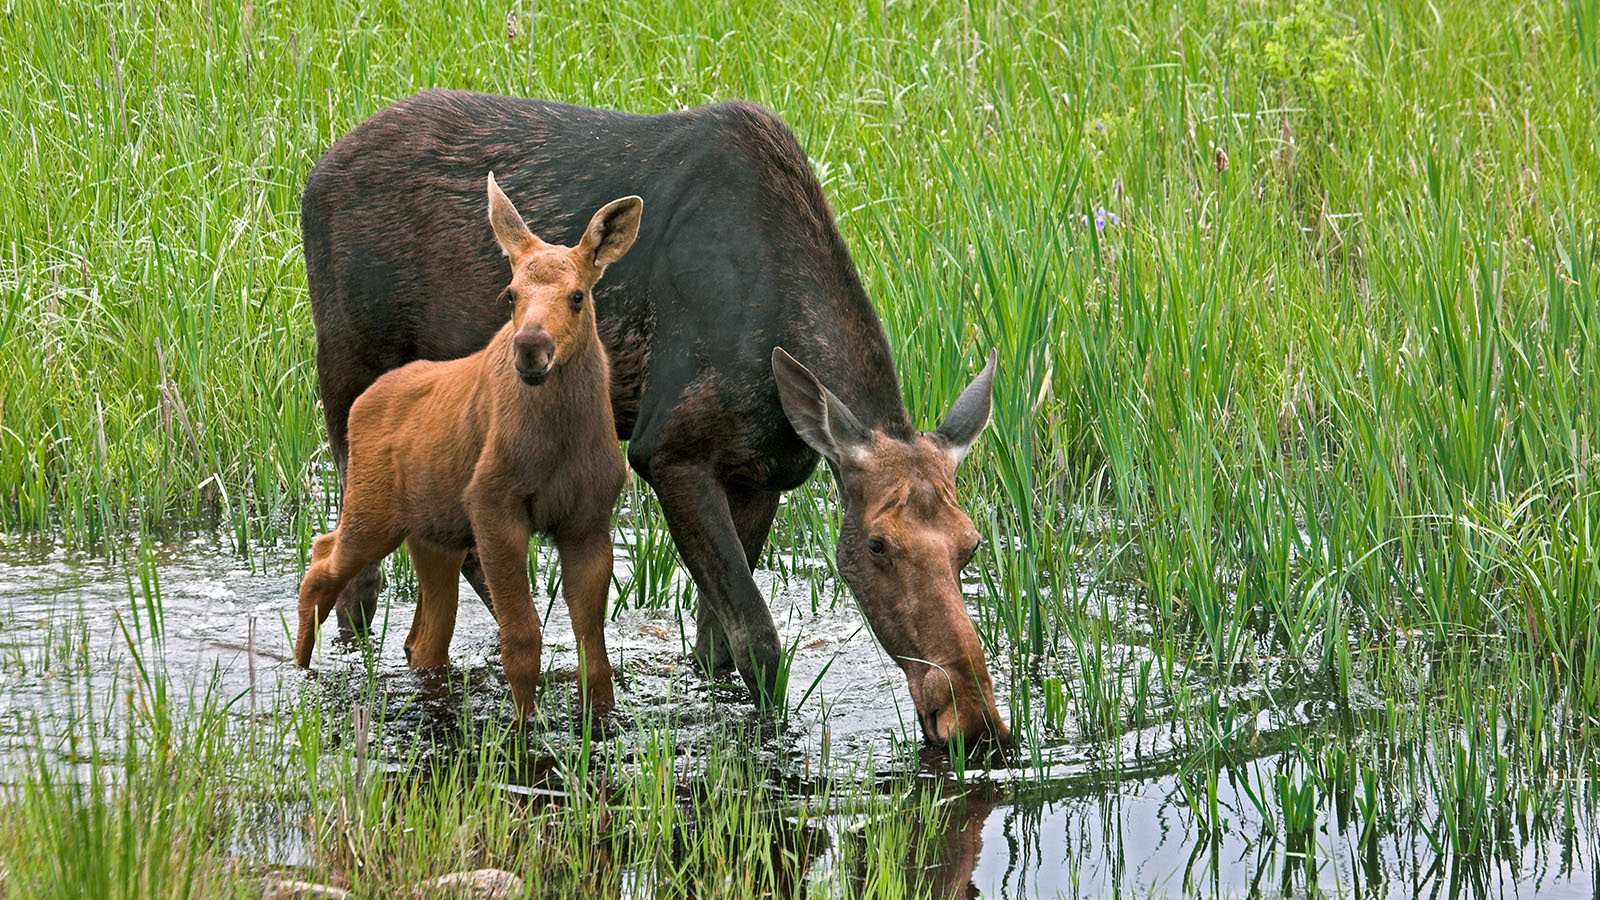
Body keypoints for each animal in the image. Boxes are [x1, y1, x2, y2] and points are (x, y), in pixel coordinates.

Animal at [294, 171, 636, 711]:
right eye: (510, 294)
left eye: (578, 295)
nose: (531, 348)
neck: (560, 437)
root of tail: (362, 405)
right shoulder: (492, 504)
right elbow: (522, 638)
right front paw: (524, 723)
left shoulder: (588, 520)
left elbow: (593, 650)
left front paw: (599, 717)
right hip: (375, 512)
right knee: (322, 559)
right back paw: (303, 661)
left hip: (433, 535)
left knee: (423, 638)